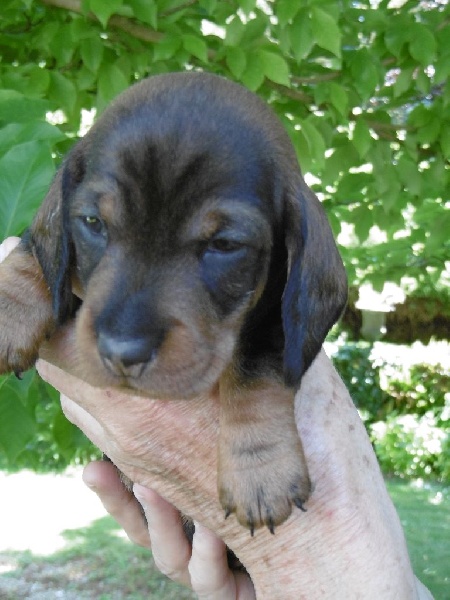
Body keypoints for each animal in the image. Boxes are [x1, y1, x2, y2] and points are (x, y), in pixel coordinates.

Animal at [0, 72, 347, 534]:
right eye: (93, 222)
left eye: (225, 245)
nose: (121, 353)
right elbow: (37, 256)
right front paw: (9, 310)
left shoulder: (275, 315)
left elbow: (256, 371)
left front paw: (259, 470)